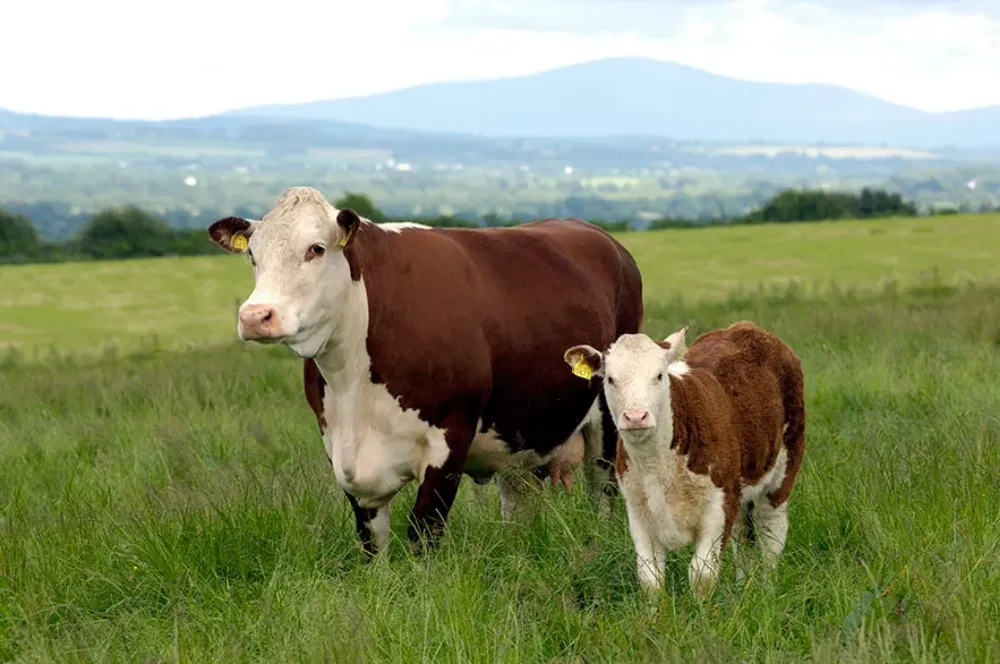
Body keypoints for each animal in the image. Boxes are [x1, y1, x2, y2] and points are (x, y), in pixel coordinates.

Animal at [209, 186, 643, 556]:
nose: (256, 316)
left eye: (315, 248)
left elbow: (424, 533)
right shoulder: (340, 450)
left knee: (602, 494)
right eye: (253, 256)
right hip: (521, 432)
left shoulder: (450, 440)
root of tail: (596, 234)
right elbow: (371, 543)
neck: (353, 385)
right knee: (519, 503)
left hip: (607, 425)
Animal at [563, 321, 806, 598]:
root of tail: (748, 328)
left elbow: (702, 573)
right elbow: (650, 578)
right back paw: (742, 589)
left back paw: (767, 590)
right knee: (743, 537)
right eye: (611, 379)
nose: (635, 416)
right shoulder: (638, 510)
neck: (658, 464)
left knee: (771, 536)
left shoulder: (720, 503)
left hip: (783, 471)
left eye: (659, 375)